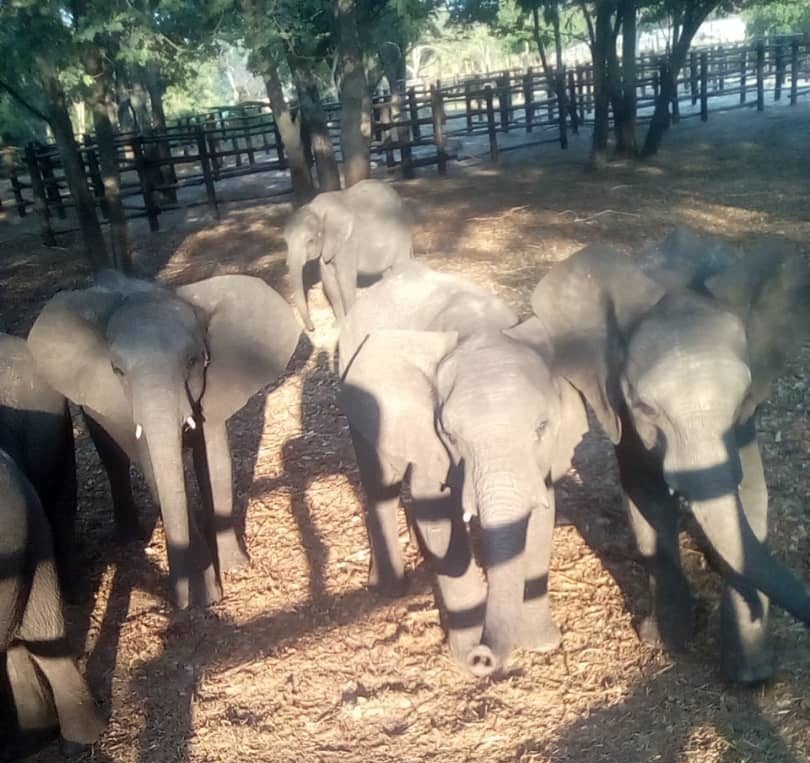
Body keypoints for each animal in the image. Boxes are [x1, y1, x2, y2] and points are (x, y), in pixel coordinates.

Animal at [28, 272, 302, 612]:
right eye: (117, 370)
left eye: (192, 361)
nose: (177, 603)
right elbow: (157, 474)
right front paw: (202, 597)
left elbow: (215, 463)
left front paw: (234, 567)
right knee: (113, 459)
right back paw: (129, 536)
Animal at [284, 182, 410, 334]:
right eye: (285, 241)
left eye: (310, 240)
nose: (312, 328)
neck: (317, 208)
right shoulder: (329, 247)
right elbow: (329, 282)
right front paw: (338, 326)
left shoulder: (348, 243)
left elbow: (345, 281)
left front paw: (351, 326)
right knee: (388, 273)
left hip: (401, 238)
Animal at [336, 266, 588, 676]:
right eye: (451, 435)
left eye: (541, 428)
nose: (483, 658)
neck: (478, 329)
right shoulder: (427, 433)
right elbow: (436, 512)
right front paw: (466, 655)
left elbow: (541, 516)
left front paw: (543, 644)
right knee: (381, 485)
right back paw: (389, 587)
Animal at [532, 236, 808, 684]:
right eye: (646, 408)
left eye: (741, 398)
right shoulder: (621, 411)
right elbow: (646, 497)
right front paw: (663, 644)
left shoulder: (748, 419)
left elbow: (751, 489)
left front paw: (750, 676)